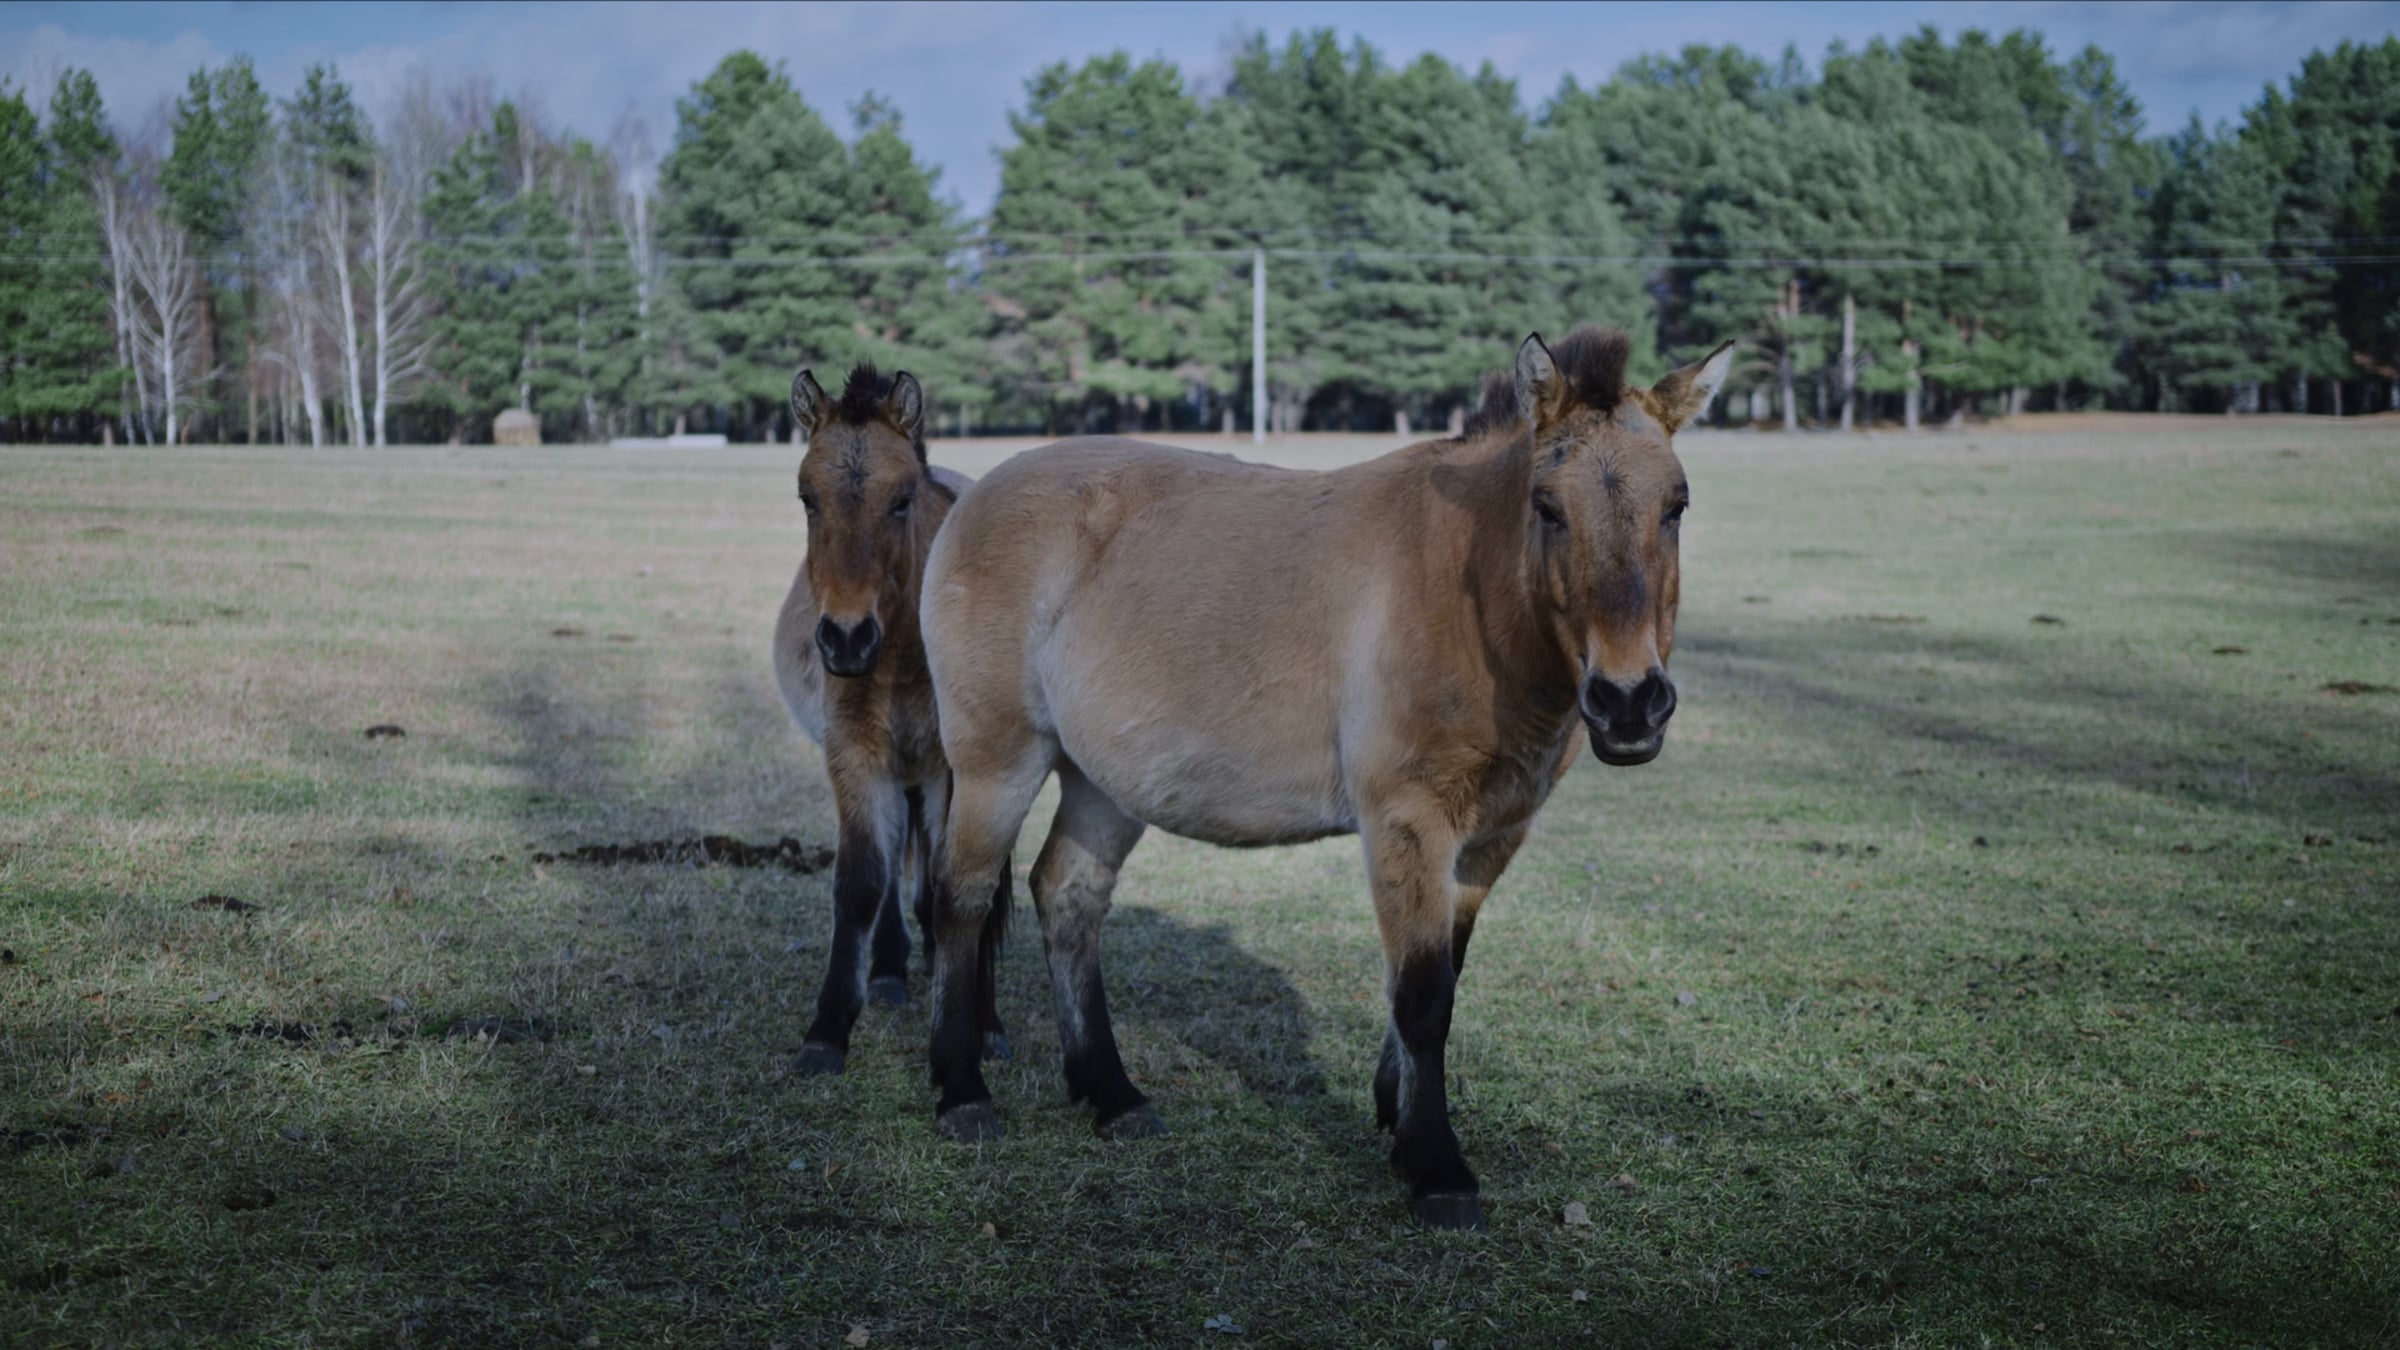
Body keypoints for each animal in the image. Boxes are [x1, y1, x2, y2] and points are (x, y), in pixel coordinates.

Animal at [771, 363, 1008, 1076]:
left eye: (902, 500)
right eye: (807, 499)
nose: (847, 640)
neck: (904, 652)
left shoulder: (953, 770)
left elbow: (958, 889)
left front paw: (978, 1025)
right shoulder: (854, 756)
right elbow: (860, 884)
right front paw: (827, 1029)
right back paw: (889, 970)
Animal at [913, 326, 1731, 1228]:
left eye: (1677, 506)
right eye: (1548, 507)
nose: (1629, 704)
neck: (1464, 592)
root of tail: (973, 494)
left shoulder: (1491, 837)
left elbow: (1443, 974)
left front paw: (1395, 1115)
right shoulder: (1407, 821)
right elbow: (1422, 994)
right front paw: (1436, 1167)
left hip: (1105, 782)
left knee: (1066, 896)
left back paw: (1113, 1094)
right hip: (998, 761)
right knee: (958, 899)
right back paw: (962, 1092)